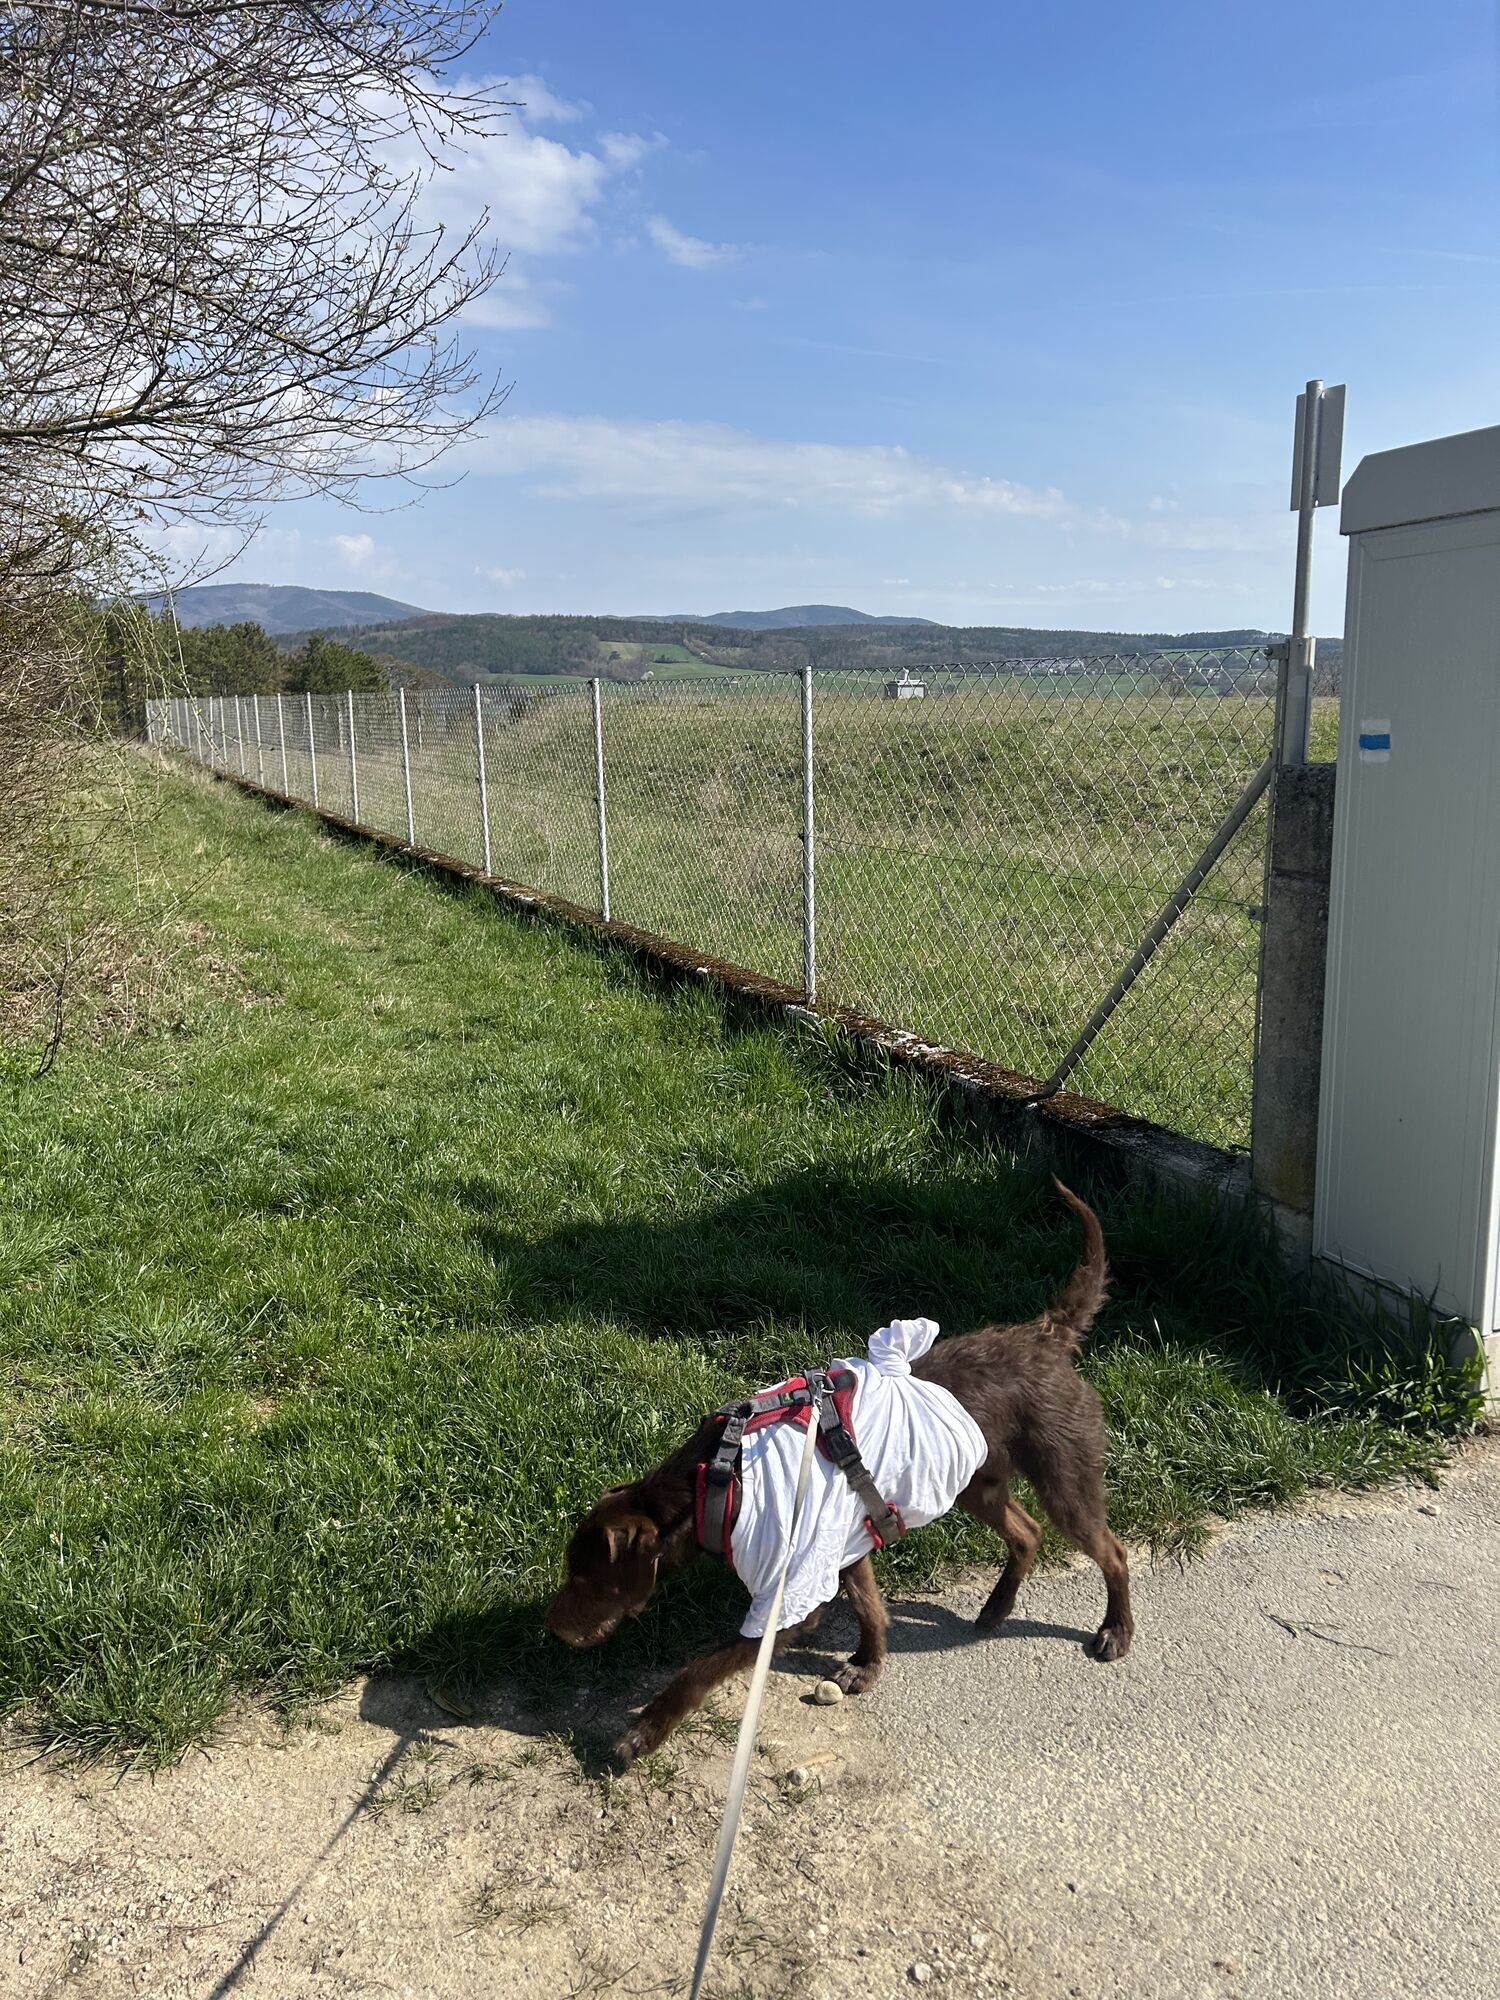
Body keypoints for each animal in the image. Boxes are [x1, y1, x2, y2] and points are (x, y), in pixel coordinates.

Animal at [546, 1178, 1132, 1768]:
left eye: (586, 1575)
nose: (551, 1629)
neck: (720, 1479)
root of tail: (1046, 1336)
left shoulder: (792, 1594)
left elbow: (700, 1669)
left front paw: (643, 1733)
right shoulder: (842, 1546)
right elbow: (871, 1610)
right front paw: (868, 1666)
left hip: (1063, 1478)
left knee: (1112, 1551)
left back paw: (1115, 1630)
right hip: (975, 1481)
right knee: (1027, 1532)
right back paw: (996, 1608)